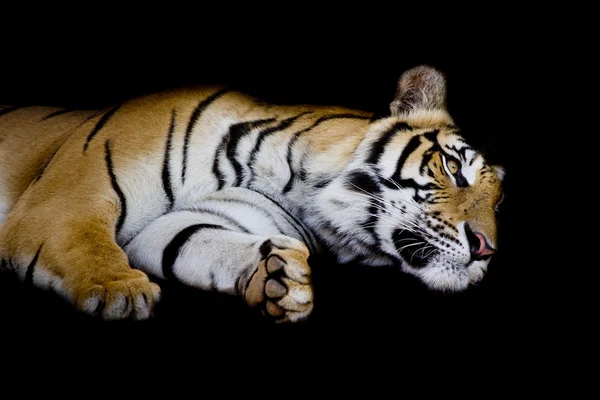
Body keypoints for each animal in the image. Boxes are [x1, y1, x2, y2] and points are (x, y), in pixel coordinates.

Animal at [0, 65, 506, 322]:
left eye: (498, 202)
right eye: (455, 168)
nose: (487, 250)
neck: (298, 187)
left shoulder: (184, 223)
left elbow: (194, 240)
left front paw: (278, 279)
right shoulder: (68, 199)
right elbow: (83, 238)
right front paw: (118, 290)